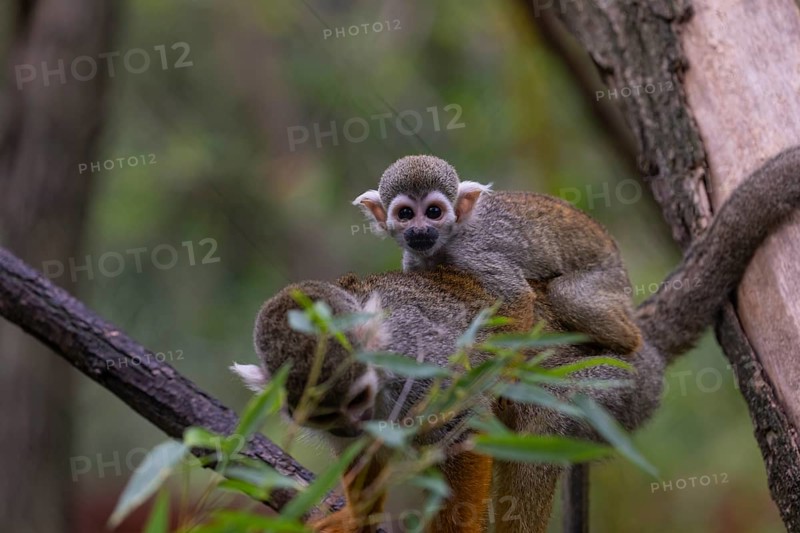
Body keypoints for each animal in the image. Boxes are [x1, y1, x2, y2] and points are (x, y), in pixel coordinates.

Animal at [352, 155, 643, 356]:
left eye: (434, 212)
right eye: (406, 214)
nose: (420, 230)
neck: (447, 241)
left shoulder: (471, 252)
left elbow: (517, 298)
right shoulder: (414, 259)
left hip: (608, 276)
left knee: (567, 294)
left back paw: (627, 343)